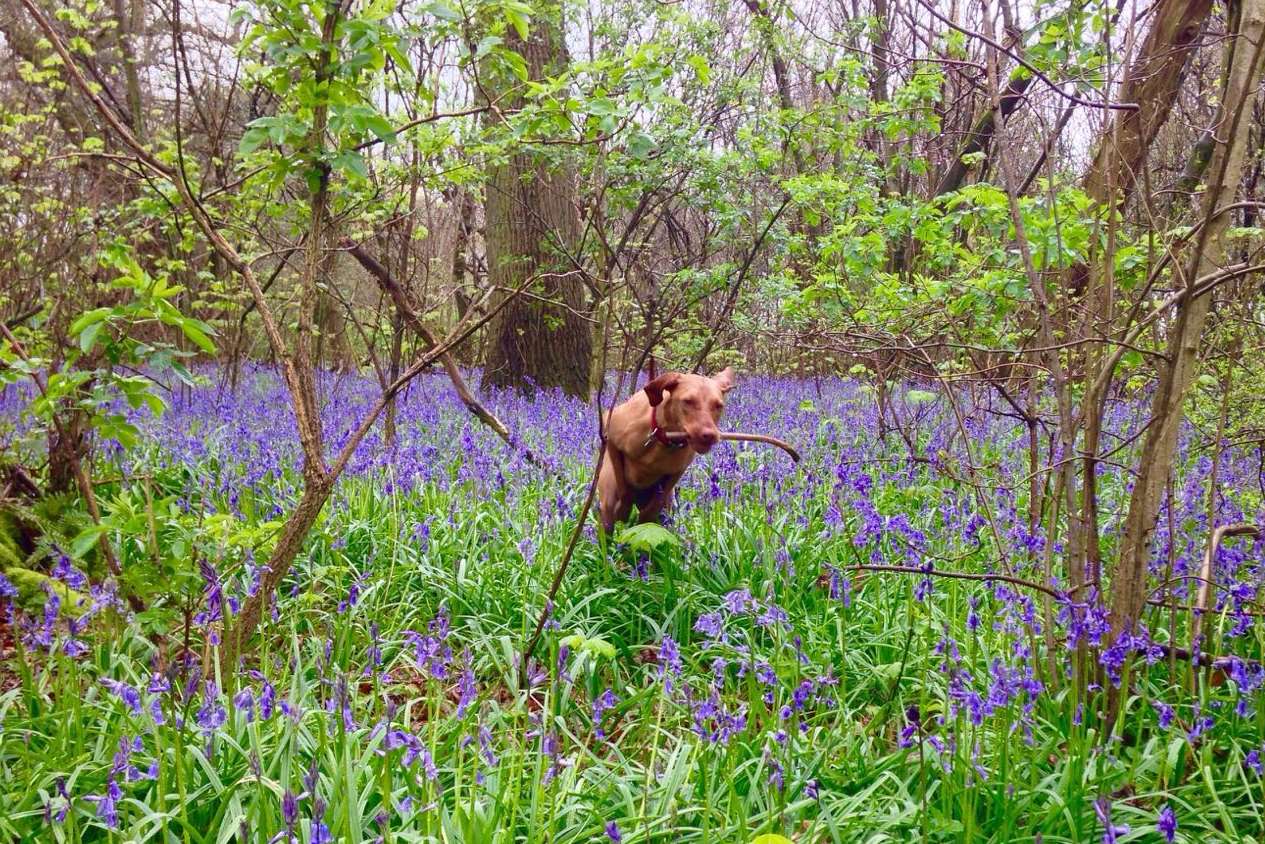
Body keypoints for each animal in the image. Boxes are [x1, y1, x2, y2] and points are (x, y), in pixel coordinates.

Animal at [597, 369, 738, 533]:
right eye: (688, 401)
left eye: (718, 405)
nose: (709, 435)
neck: (664, 441)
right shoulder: (611, 436)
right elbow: (624, 491)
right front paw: (624, 511)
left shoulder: (676, 472)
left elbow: (652, 508)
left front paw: (644, 523)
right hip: (607, 504)